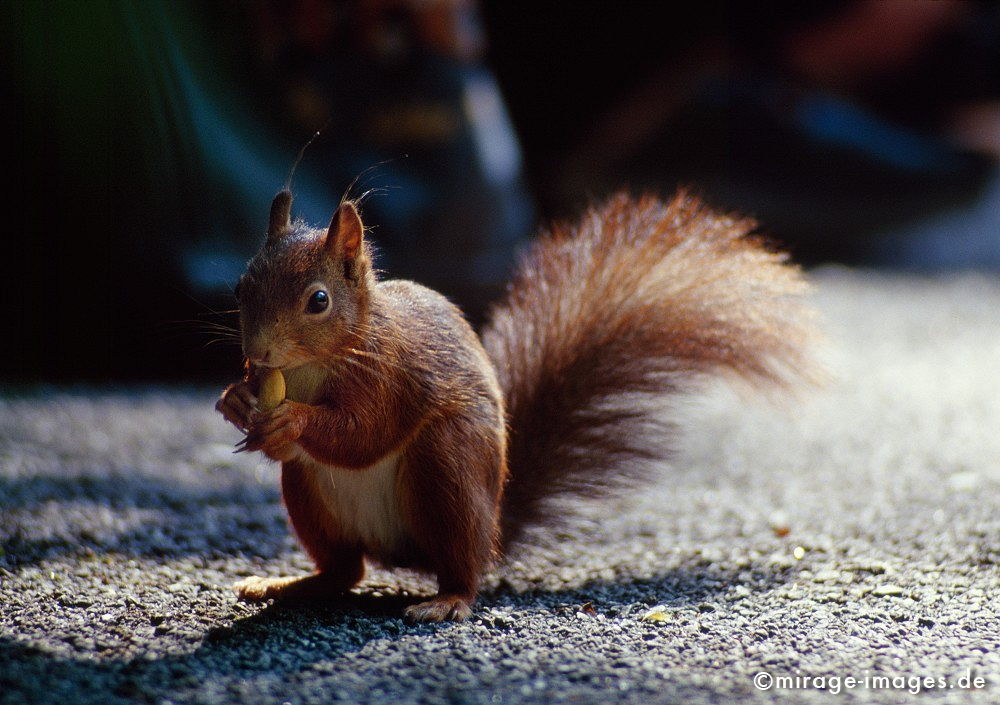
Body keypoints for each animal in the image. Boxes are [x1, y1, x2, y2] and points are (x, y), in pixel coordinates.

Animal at [215, 188, 816, 620]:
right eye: (240, 286)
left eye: (318, 301)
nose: (257, 351)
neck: (313, 365)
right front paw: (235, 399)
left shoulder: (395, 374)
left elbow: (364, 432)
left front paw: (292, 420)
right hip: (309, 495)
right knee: (345, 573)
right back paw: (287, 583)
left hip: (449, 464)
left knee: (462, 570)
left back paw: (446, 601)